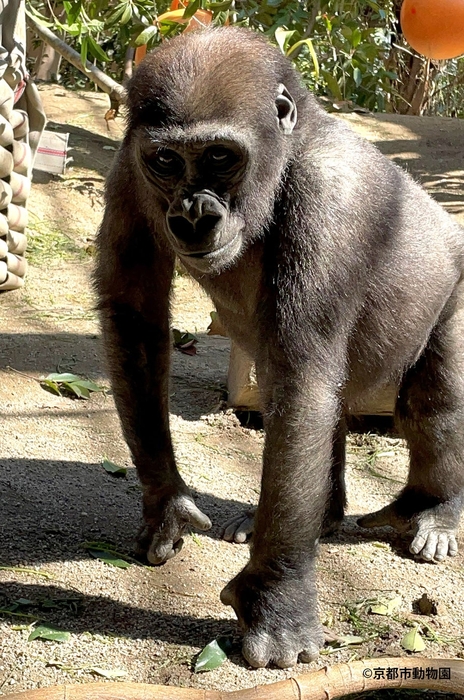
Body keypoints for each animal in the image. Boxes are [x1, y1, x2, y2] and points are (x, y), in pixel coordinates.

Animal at [94, 27, 464, 668]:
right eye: (166, 161)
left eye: (221, 157)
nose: (193, 213)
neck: (289, 150)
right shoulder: (128, 167)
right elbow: (134, 316)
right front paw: (166, 503)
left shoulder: (329, 201)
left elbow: (302, 382)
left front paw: (276, 598)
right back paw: (327, 517)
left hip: (456, 290)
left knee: (433, 405)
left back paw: (432, 510)